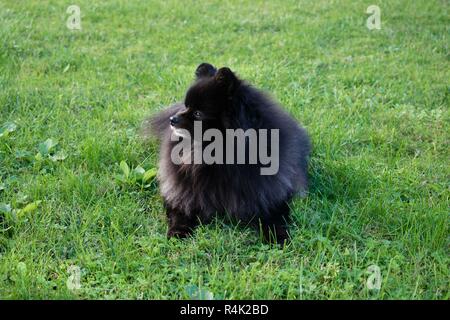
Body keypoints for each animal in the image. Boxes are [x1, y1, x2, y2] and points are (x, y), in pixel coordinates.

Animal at [148, 62, 310, 244]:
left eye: (198, 113)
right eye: (186, 106)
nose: (172, 119)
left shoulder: (267, 191)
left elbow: (274, 215)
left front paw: (278, 236)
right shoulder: (184, 190)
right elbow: (179, 210)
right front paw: (178, 232)